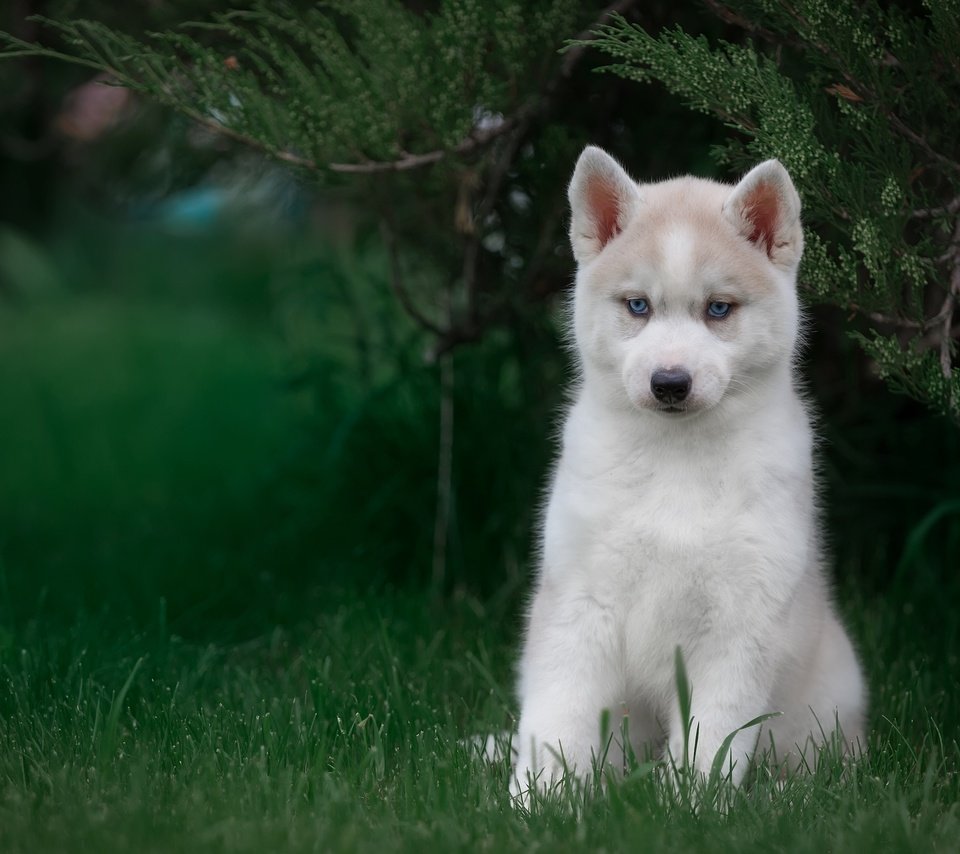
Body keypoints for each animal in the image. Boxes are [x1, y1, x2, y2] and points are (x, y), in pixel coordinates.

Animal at [512, 145, 868, 804]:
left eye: (718, 309)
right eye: (638, 306)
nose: (670, 382)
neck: (676, 461)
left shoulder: (741, 622)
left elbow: (713, 738)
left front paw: (693, 807)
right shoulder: (578, 601)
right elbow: (557, 717)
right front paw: (537, 800)